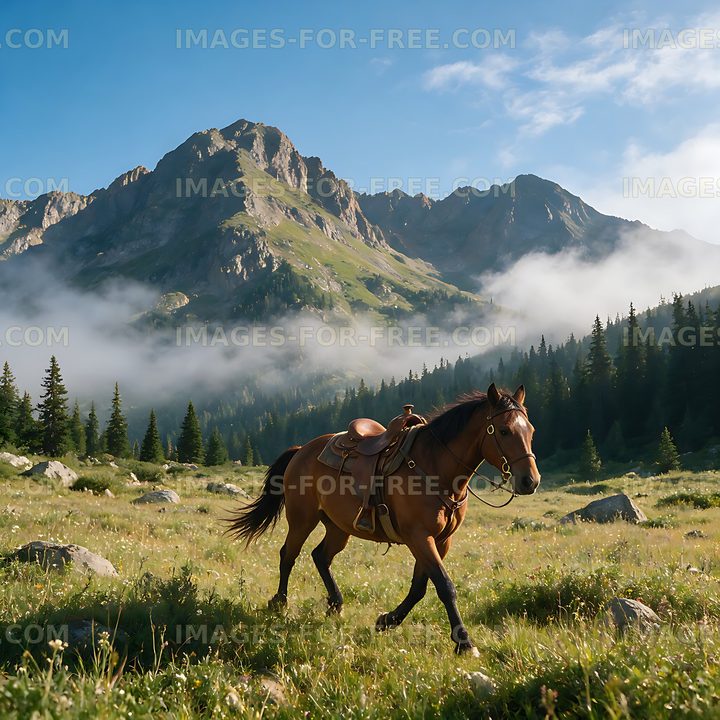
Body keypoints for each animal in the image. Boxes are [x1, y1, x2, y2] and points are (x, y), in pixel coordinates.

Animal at [227, 383, 541, 655]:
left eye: (531, 431)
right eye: (504, 431)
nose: (530, 481)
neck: (436, 468)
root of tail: (301, 450)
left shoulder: (440, 540)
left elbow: (419, 587)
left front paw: (387, 620)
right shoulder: (419, 536)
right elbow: (444, 585)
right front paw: (464, 643)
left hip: (339, 527)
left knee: (321, 556)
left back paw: (335, 604)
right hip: (302, 519)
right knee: (288, 554)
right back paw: (279, 602)